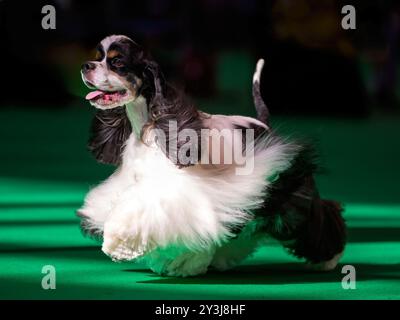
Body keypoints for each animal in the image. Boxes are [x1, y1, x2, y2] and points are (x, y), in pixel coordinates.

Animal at [79, 34, 346, 276]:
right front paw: (181, 264)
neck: (151, 125)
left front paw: (117, 244)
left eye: (117, 62)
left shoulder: (173, 192)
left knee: (317, 213)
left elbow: (136, 215)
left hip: (286, 191)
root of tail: (263, 124)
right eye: (98, 56)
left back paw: (329, 259)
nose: (86, 66)